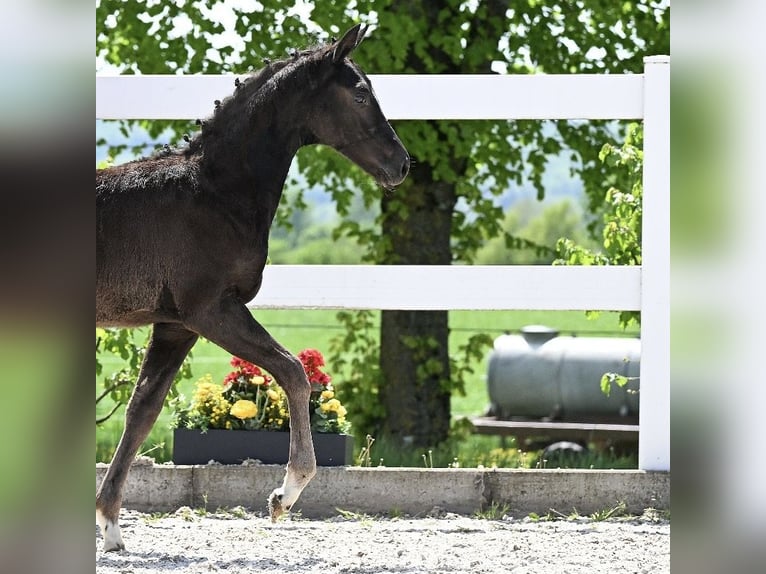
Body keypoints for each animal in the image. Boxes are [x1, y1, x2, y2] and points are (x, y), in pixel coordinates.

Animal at [96, 23, 409, 552]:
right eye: (361, 94)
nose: (402, 164)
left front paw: (111, 526)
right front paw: (286, 494)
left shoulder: (176, 324)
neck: (214, 193)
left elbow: (142, 410)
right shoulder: (213, 311)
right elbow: (293, 373)